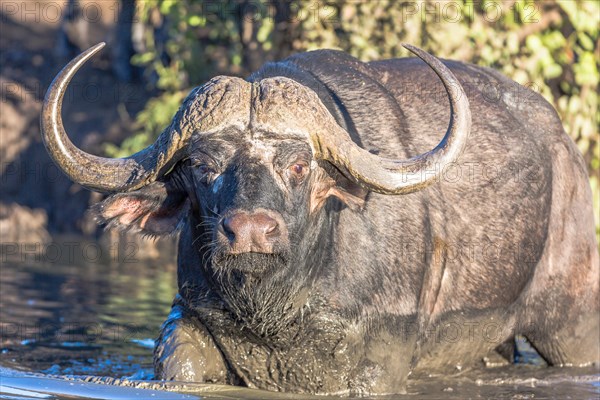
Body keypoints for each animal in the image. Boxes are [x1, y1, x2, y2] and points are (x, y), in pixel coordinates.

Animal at [39, 43, 596, 394]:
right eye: (202, 166)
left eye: (299, 165)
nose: (249, 232)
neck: (279, 312)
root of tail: (565, 151)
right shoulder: (192, 320)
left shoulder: (381, 358)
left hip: (571, 327)